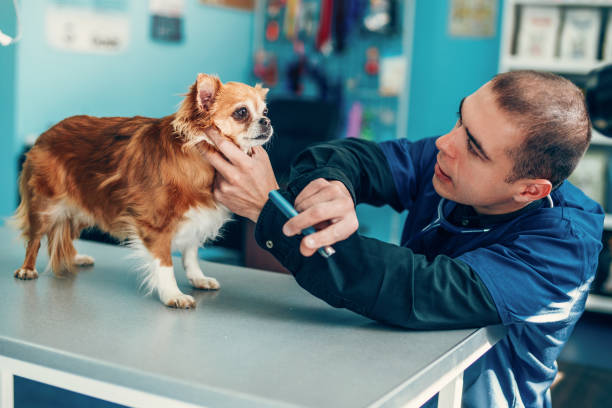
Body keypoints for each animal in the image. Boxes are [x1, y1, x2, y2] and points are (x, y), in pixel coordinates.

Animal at [10, 74, 270, 310]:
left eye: (265, 111)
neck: (202, 154)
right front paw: (173, 294)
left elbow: (190, 255)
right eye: (241, 112)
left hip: (82, 207)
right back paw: (27, 269)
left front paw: (198, 278)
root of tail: (45, 134)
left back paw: (76, 257)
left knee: (65, 236)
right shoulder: (155, 225)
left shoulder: (194, 218)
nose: (266, 121)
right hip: (46, 207)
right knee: (35, 239)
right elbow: (165, 264)